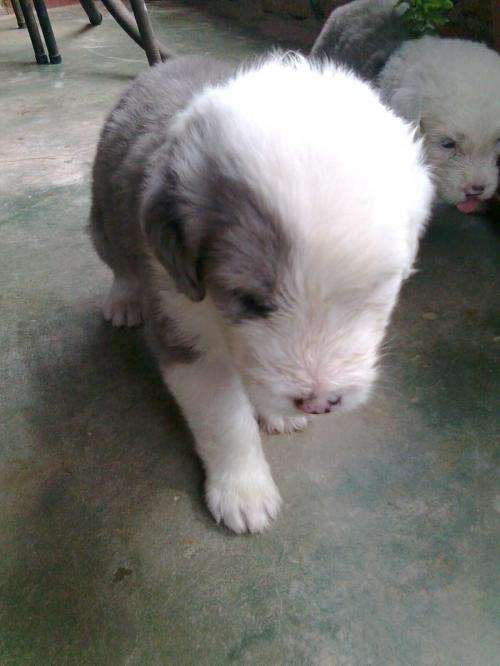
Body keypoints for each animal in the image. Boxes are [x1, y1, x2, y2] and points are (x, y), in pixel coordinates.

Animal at [91, 52, 434, 532]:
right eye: (252, 302)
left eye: (370, 296)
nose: (318, 403)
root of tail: (164, 63)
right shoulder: (182, 325)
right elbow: (226, 422)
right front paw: (244, 493)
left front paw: (275, 415)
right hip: (105, 216)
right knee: (118, 262)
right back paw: (123, 302)